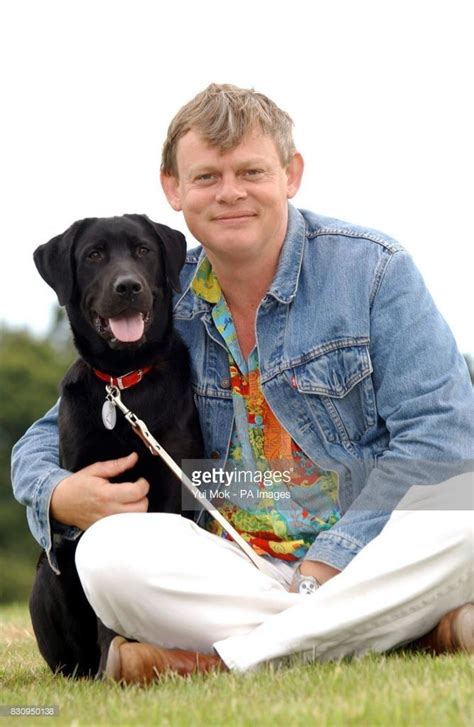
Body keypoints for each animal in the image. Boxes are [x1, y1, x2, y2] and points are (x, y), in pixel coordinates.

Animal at [29, 213, 203, 680]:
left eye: (143, 250)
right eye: (93, 255)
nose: (128, 286)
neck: (124, 384)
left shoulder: (170, 488)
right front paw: (117, 657)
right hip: (51, 565)